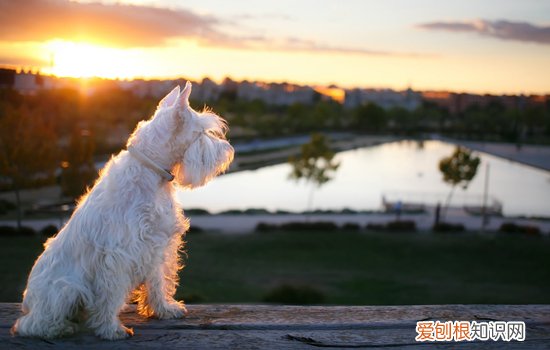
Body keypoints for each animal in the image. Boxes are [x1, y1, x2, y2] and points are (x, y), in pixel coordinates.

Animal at [11, 82, 235, 340]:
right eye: (201, 133)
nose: (228, 150)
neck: (152, 173)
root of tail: (27, 302)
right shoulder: (118, 254)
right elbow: (110, 295)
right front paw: (110, 329)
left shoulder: (156, 245)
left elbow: (158, 282)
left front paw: (164, 309)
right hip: (65, 289)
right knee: (32, 324)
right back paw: (60, 327)